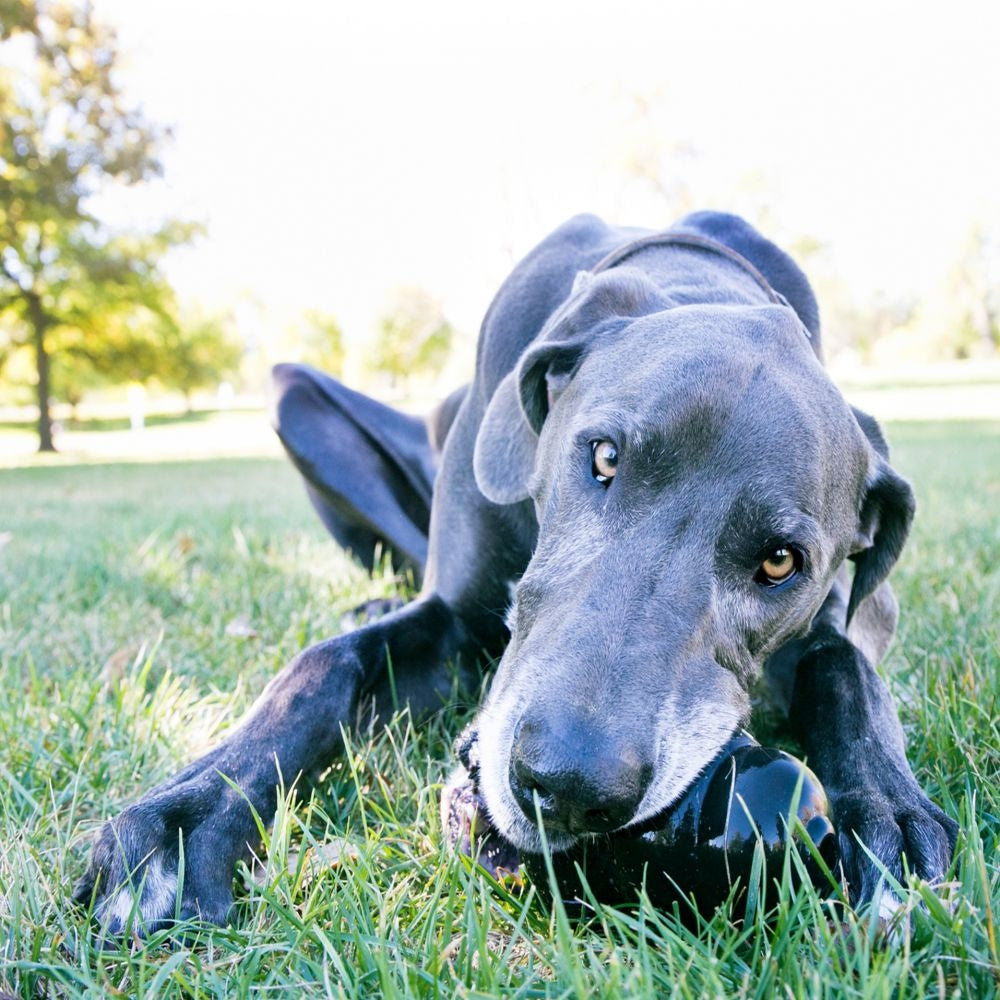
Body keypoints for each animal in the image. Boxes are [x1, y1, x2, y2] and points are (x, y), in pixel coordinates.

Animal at [76, 209, 952, 928]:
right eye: (603, 455)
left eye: (779, 562)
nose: (569, 786)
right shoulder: (453, 619)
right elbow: (321, 666)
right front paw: (190, 815)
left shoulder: (838, 623)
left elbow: (847, 668)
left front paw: (888, 812)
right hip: (298, 401)